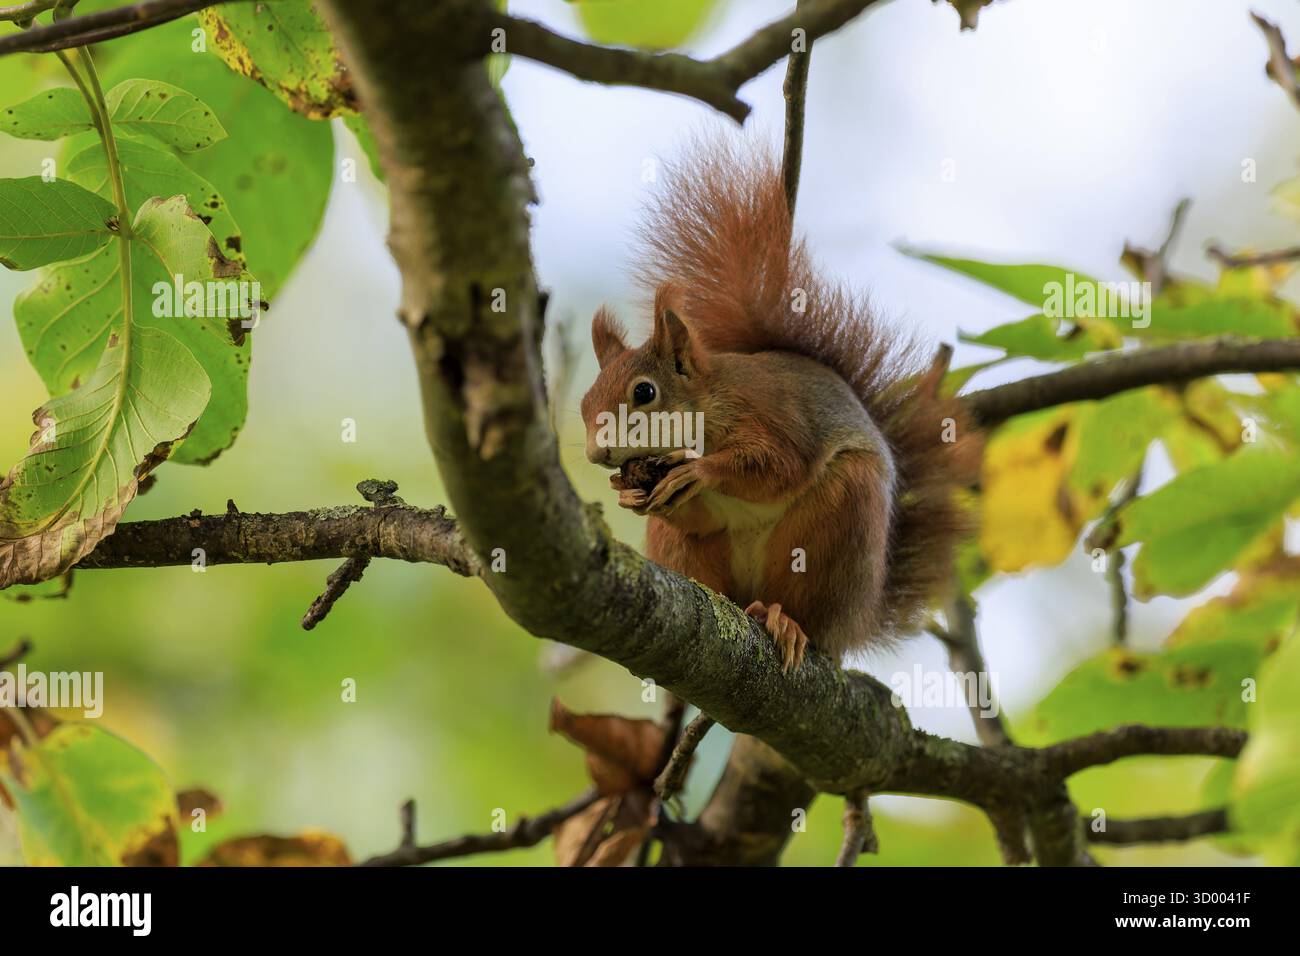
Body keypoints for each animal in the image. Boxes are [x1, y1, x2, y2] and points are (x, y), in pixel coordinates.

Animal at [580, 140, 981, 671]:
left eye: (644, 393)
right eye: (585, 402)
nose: (595, 453)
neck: (708, 406)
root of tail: (854, 625)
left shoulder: (775, 416)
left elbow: (778, 467)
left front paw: (701, 470)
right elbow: (701, 518)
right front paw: (629, 493)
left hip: (836, 525)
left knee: (801, 604)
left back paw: (785, 622)